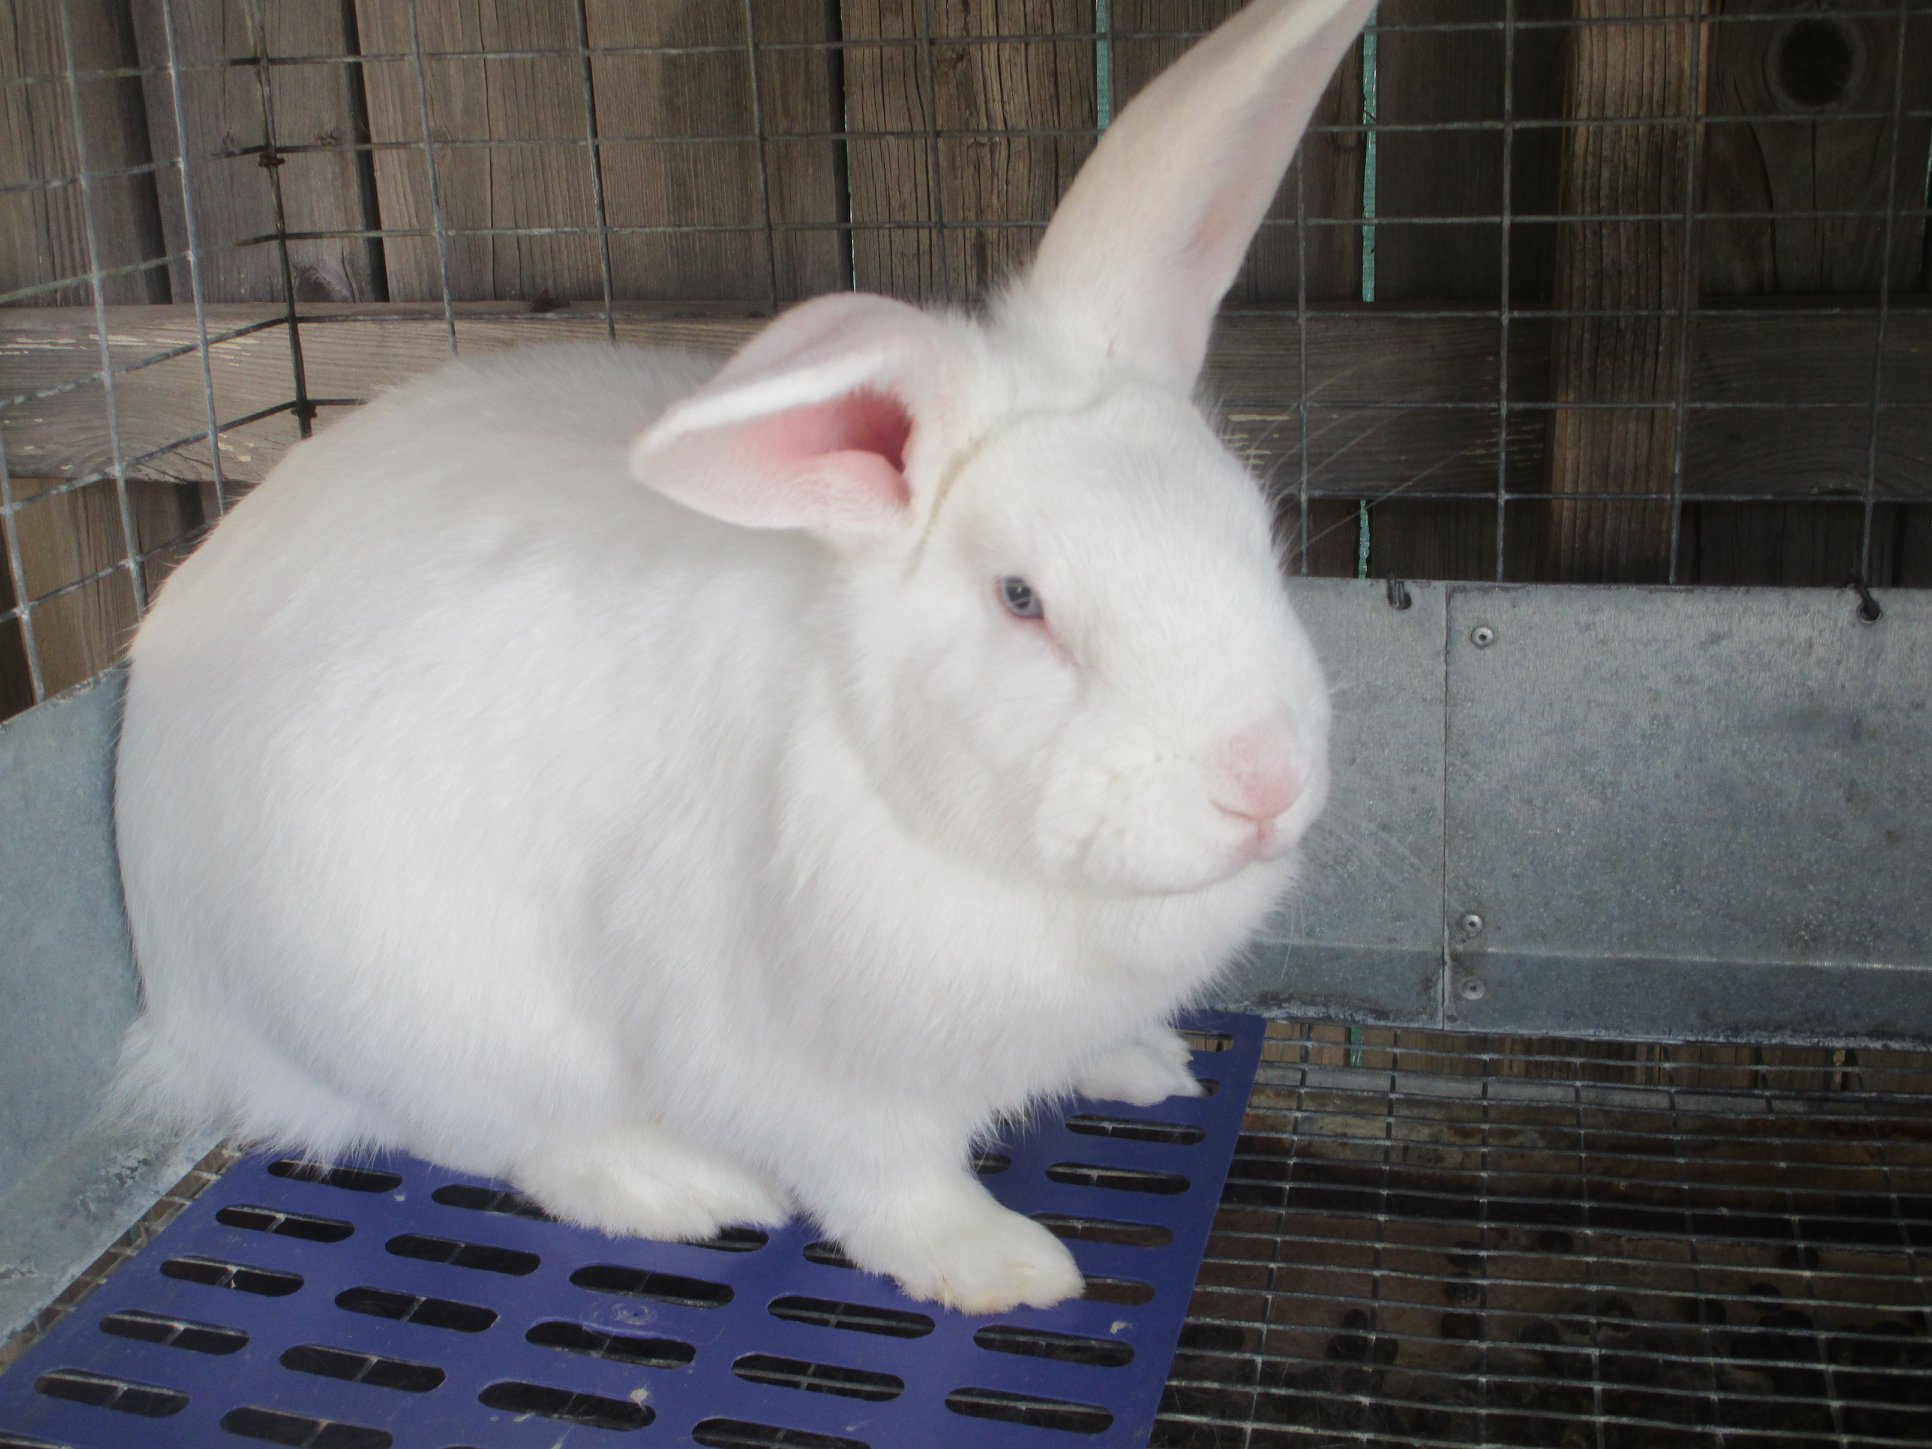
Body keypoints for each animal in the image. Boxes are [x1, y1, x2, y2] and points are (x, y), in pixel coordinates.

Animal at [111, 0, 1367, 1314]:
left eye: (1251, 530)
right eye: (1023, 600)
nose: (1265, 786)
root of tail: (182, 999)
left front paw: (1142, 1061)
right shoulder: (812, 1081)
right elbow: (892, 1190)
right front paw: (1004, 1268)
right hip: (436, 1022)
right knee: (503, 1137)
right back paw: (679, 1188)